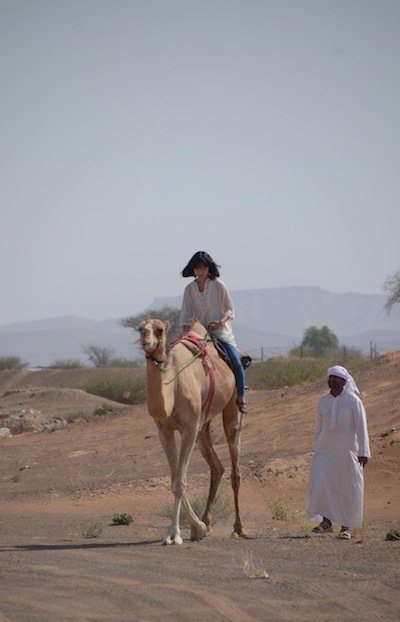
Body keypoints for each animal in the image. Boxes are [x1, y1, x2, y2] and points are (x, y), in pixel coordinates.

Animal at [139, 320, 248, 544]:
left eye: (159, 330)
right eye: (140, 328)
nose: (146, 341)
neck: (172, 387)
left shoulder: (188, 427)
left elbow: (180, 482)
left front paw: (176, 534)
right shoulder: (165, 430)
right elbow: (175, 479)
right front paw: (196, 528)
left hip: (232, 405)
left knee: (235, 470)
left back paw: (239, 528)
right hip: (202, 425)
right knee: (217, 467)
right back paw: (207, 522)